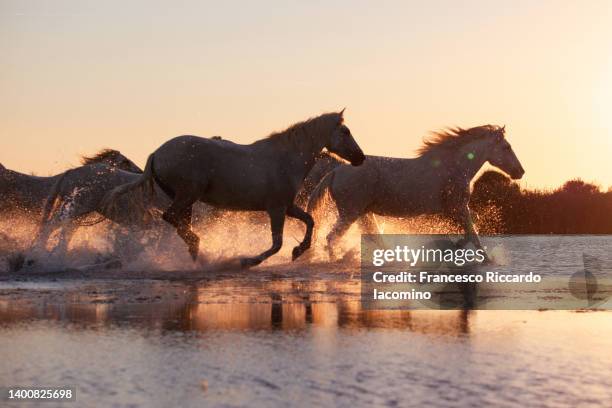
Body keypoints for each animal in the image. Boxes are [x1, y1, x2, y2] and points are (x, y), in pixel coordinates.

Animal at [103, 110, 366, 268]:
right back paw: (200, 250)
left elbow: (310, 222)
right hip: (187, 194)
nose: (360, 158)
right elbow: (276, 243)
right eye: (345, 131)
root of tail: (157, 153)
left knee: (180, 222)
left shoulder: (287, 206)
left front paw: (298, 251)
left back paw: (197, 253)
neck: (286, 158)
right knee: (171, 217)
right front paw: (249, 261)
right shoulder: (276, 209)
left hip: (185, 199)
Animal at [308, 124, 524, 258]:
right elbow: (474, 235)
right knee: (331, 238)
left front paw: (454, 248)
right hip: (350, 213)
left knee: (375, 239)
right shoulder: (458, 208)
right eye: (506, 147)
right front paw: (487, 260)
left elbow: (471, 232)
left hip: (362, 213)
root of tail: (336, 171)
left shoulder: (455, 210)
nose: (520, 172)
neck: (454, 166)